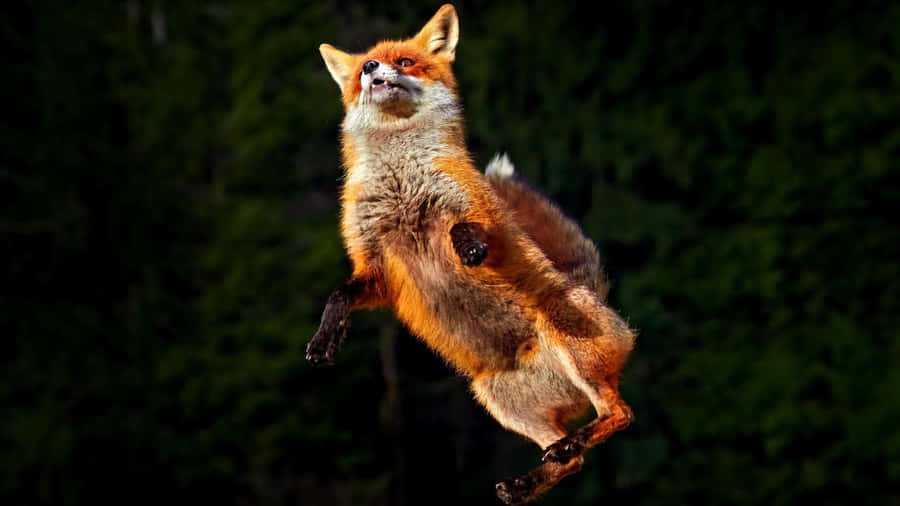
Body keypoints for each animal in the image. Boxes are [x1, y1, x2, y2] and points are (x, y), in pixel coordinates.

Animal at [307, 5, 635, 504]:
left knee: (620, 414)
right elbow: (339, 294)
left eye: (405, 61)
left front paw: (467, 245)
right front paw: (327, 337)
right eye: (364, 66)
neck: (402, 178)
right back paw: (528, 481)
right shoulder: (377, 264)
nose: (371, 68)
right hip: (497, 398)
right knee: (571, 459)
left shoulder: (482, 213)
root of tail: (595, 292)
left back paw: (575, 440)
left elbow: (468, 226)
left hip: (561, 330)